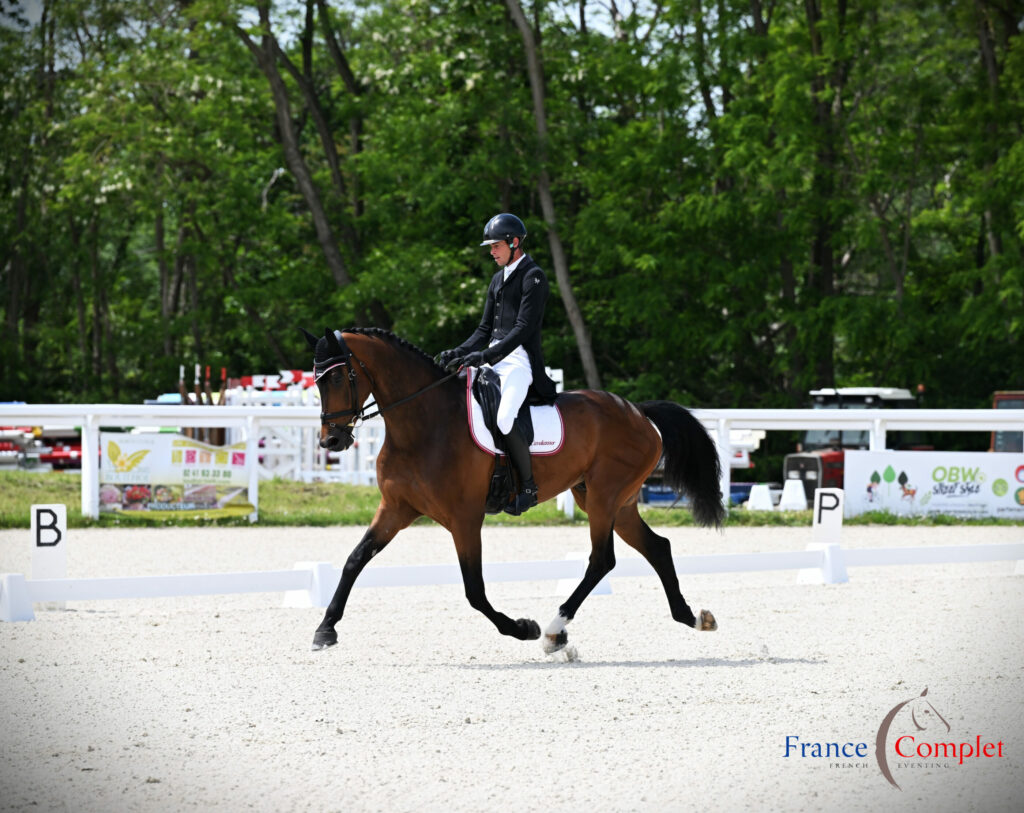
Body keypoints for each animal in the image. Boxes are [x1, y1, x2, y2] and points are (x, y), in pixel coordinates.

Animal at [299, 325, 724, 651]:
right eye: (316, 380)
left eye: (336, 377)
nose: (331, 441)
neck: (423, 425)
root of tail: (638, 411)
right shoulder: (396, 508)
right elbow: (355, 559)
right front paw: (325, 629)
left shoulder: (464, 518)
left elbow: (474, 589)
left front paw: (522, 628)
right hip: (610, 500)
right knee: (657, 546)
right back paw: (691, 617)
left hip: (605, 497)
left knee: (602, 560)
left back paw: (552, 631)